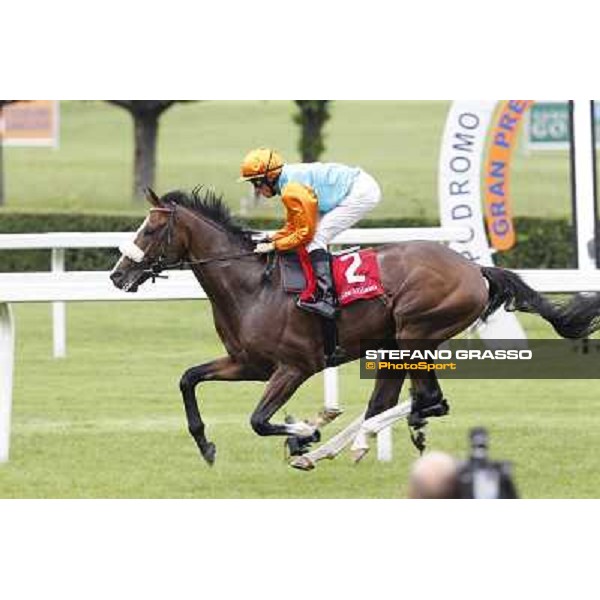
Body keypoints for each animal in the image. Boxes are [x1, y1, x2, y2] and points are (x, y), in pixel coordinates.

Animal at [110, 185, 600, 466]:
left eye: (149, 230)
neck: (252, 285)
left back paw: (346, 441)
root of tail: (473, 269)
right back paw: (336, 447)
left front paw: (305, 430)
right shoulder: (246, 363)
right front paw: (207, 445)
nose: (117, 275)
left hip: (414, 334)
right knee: (401, 402)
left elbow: (259, 420)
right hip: (398, 344)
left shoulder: (294, 366)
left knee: (425, 401)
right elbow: (188, 379)